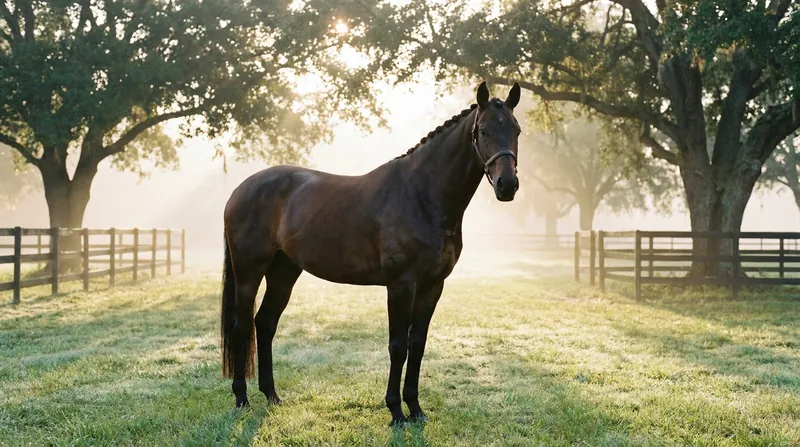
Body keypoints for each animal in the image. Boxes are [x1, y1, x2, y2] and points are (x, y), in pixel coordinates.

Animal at [220, 81, 522, 426]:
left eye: (516, 130)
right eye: (484, 131)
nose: (507, 185)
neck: (422, 196)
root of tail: (240, 189)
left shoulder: (433, 286)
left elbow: (417, 345)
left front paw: (415, 408)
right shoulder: (401, 285)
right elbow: (398, 346)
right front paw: (396, 411)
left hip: (284, 272)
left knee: (265, 324)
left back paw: (271, 395)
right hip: (249, 273)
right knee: (242, 327)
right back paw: (241, 397)